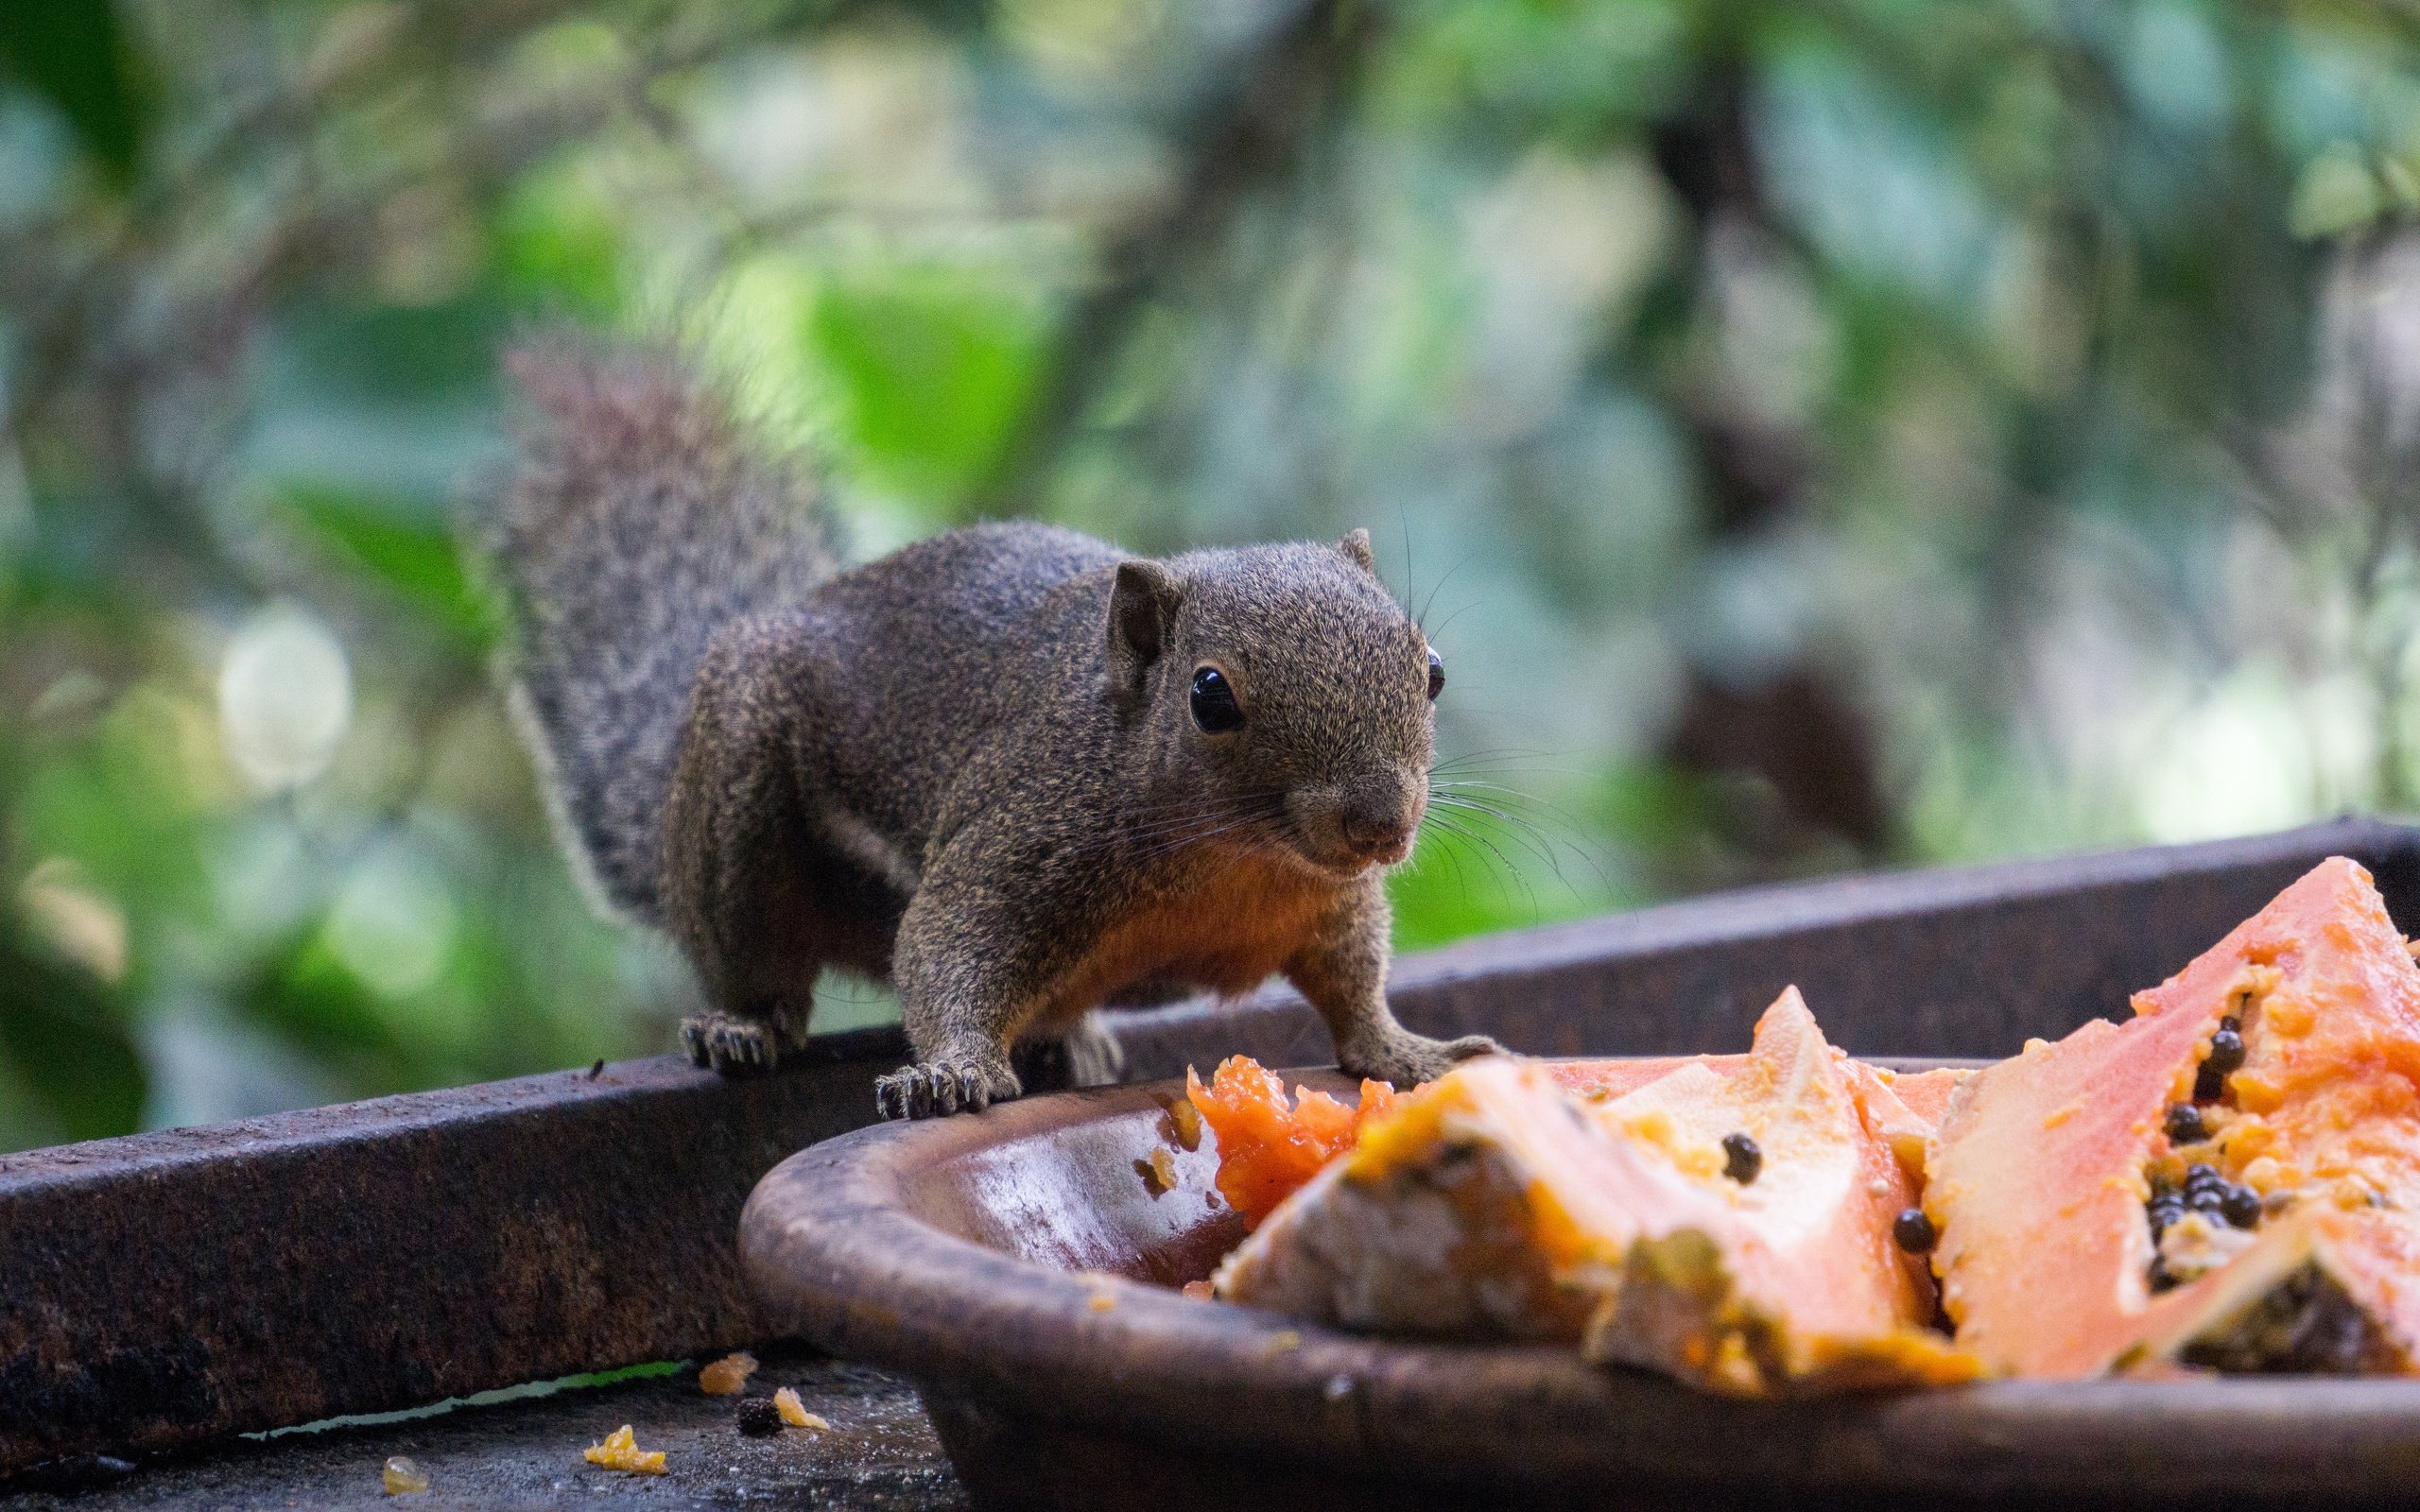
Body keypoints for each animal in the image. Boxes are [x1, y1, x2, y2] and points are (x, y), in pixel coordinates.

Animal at [484, 346, 1500, 1122]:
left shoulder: (1331, 903)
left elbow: (1354, 985)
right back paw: (740, 1025)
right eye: (1210, 696)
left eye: (1434, 668)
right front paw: (953, 1073)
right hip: (737, 797)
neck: (1236, 857)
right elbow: (946, 947)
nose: (1382, 824)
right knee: (754, 962)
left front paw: (1413, 1053)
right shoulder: (1023, 835)